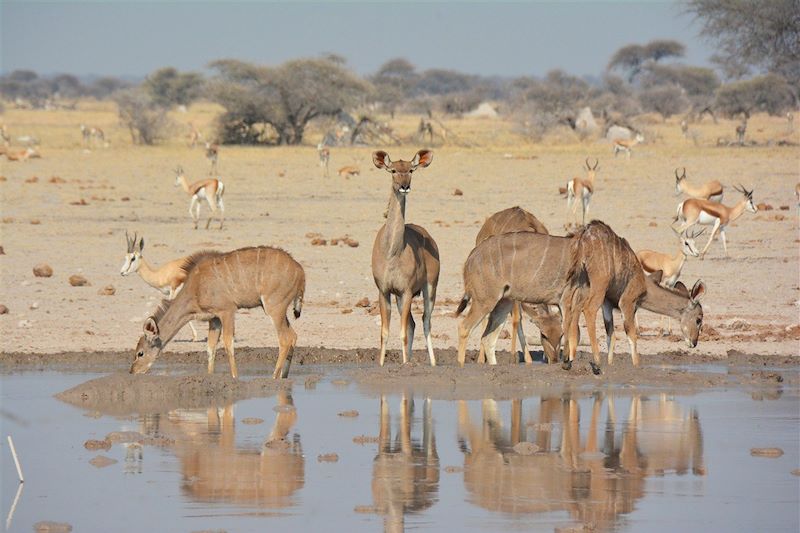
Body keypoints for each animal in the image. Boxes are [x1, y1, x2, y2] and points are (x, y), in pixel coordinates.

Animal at [130, 245, 304, 378]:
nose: (133, 371)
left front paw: (234, 376)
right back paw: (284, 376)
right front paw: (210, 375)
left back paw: (274, 377)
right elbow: (210, 347)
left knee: (284, 339)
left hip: (274, 308)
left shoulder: (227, 311)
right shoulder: (214, 319)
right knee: (293, 336)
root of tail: (300, 270)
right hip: (280, 310)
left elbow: (228, 343)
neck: (196, 286)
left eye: (140, 353)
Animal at [372, 150, 440, 366]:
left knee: (425, 321)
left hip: (429, 288)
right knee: (413, 323)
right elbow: (385, 332)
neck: (392, 252)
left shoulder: (408, 290)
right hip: (400, 297)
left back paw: (433, 362)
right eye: (393, 170)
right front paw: (382, 363)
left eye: (411, 170)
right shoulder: (385, 291)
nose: (404, 186)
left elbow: (402, 332)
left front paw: (404, 363)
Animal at [476, 206, 564, 364]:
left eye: (561, 335)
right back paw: (481, 359)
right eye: (543, 335)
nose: (554, 360)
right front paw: (513, 358)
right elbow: (517, 319)